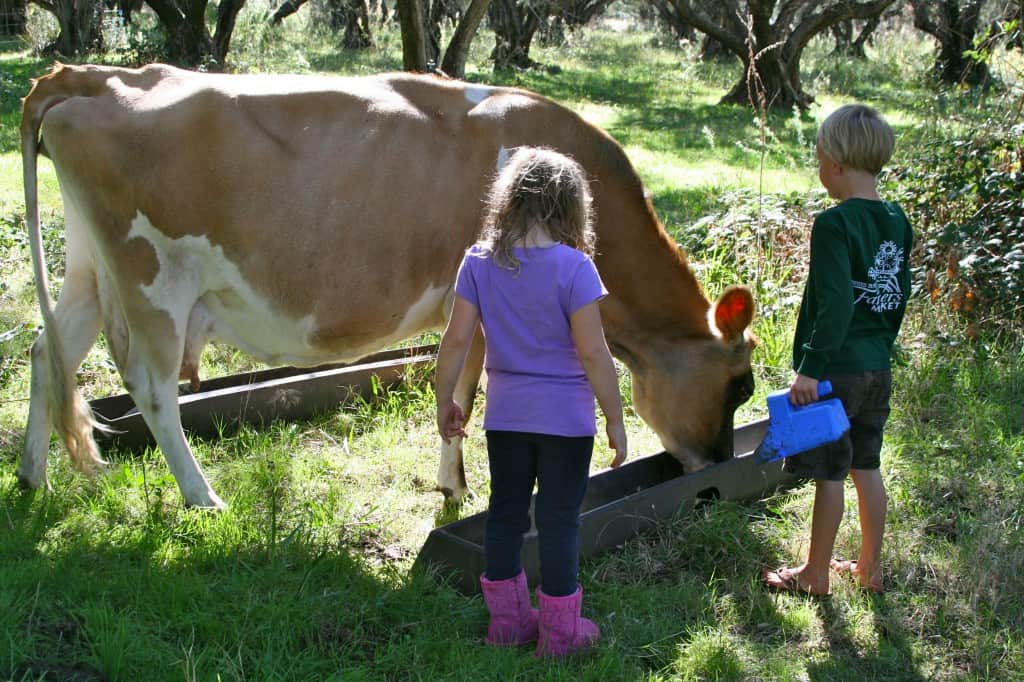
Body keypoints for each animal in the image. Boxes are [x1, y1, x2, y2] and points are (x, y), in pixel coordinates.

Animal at [14, 63, 753, 507]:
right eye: (740, 387)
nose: (719, 463)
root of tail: (91, 76)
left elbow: (455, 389)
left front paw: (454, 484)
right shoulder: (480, 292)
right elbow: (463, 392)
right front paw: (458, 487)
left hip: (88, 270)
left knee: (48, 353)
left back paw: (31, 477)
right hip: (152, 278)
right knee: (152, 389)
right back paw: (203, 496)